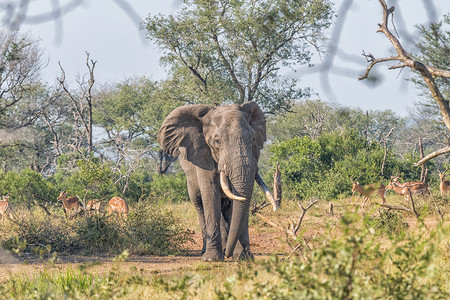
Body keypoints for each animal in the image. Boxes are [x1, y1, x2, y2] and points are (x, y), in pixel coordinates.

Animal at [158, 101, 278, 260]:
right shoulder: (203, 154)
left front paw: (243, 257)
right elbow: (210, 193)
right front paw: (212, 258)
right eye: (217, 141)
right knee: (199, 204)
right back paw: (206, 250)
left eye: (253, 139)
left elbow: (238, 199)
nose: (228, 255)